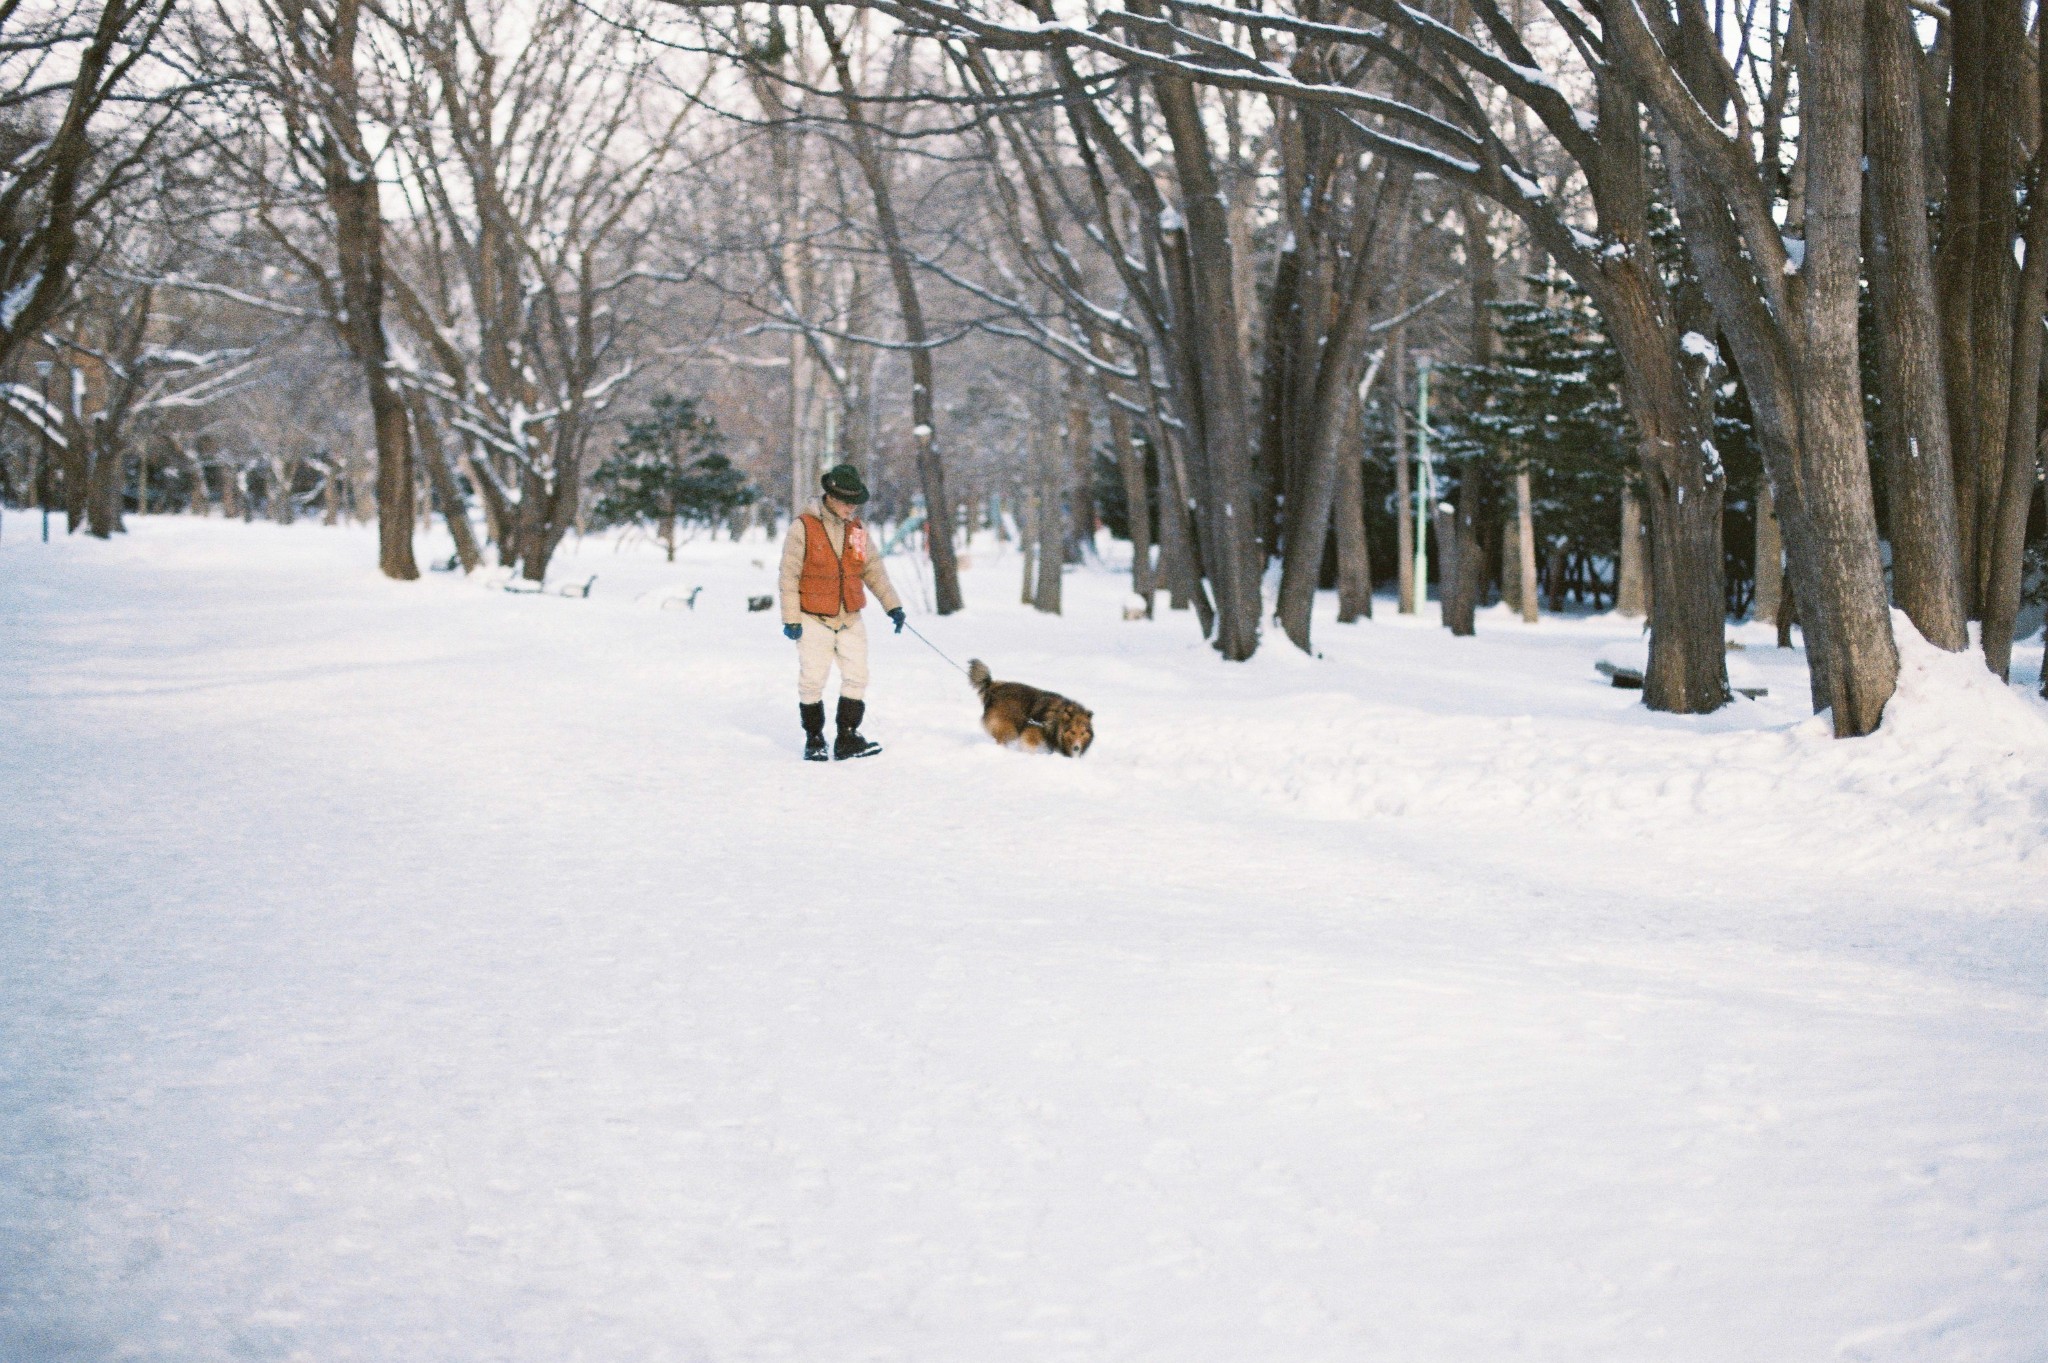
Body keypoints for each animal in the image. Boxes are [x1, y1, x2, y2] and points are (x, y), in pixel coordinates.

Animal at [966, 658, 1097, 753]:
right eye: (1073, 732)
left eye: (1083, 733)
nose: (1076, 748)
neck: (1055, 723)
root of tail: (993, 686)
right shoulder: (1031, 734)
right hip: (1008, 728)